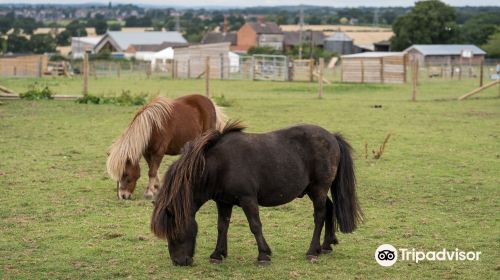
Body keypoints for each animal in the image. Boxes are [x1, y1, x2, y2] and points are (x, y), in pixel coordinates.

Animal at [150, 121, 362, 266]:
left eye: (174, 231)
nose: (179, 262)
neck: (219, 165)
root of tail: (332, 137)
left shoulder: (248, 199)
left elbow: (255, 225)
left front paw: (263, 255)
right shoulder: (223, 202)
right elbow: (222, 226)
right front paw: (218, 254)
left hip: (318, 189)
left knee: (319, 216)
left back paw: (311, 250)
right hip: (315, 190)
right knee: (329, 209)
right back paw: (325, 246)